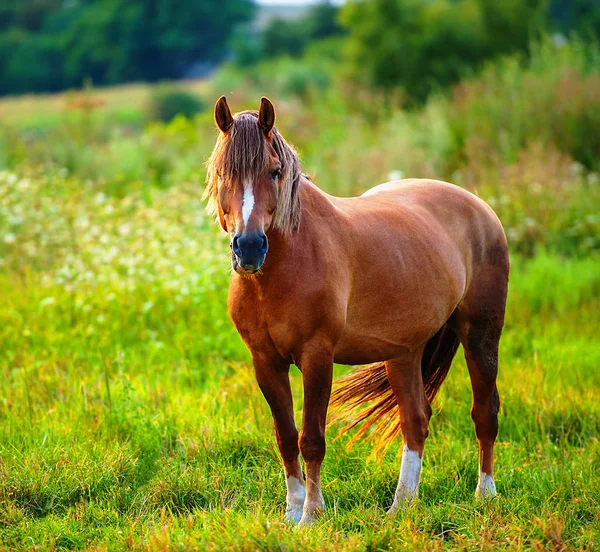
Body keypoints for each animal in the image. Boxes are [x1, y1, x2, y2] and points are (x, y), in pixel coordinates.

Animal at [204, 96, 508, 528]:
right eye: (221, 172)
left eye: (274, 171)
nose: (248, 248)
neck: (281, 269)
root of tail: (480, 206)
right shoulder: (265, 361)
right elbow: (285, 436)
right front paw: (292, 512)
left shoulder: (317, 356)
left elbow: (311, 439)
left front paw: (312, 515)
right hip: (404, 353)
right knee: (415, 421)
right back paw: (402, 506)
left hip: (481, 333)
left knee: (484, 413)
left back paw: (484, 495)